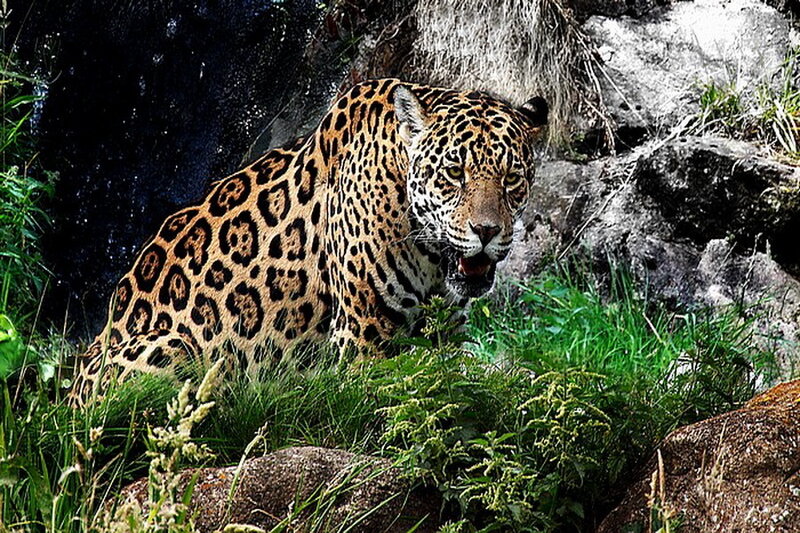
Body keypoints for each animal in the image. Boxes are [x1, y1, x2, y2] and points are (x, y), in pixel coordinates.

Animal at [68, 78, 548, 406]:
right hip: (174, 345)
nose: (487, 231)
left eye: (512, 178)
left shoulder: (446, 333)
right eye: (453, 173)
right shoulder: (361, 343)